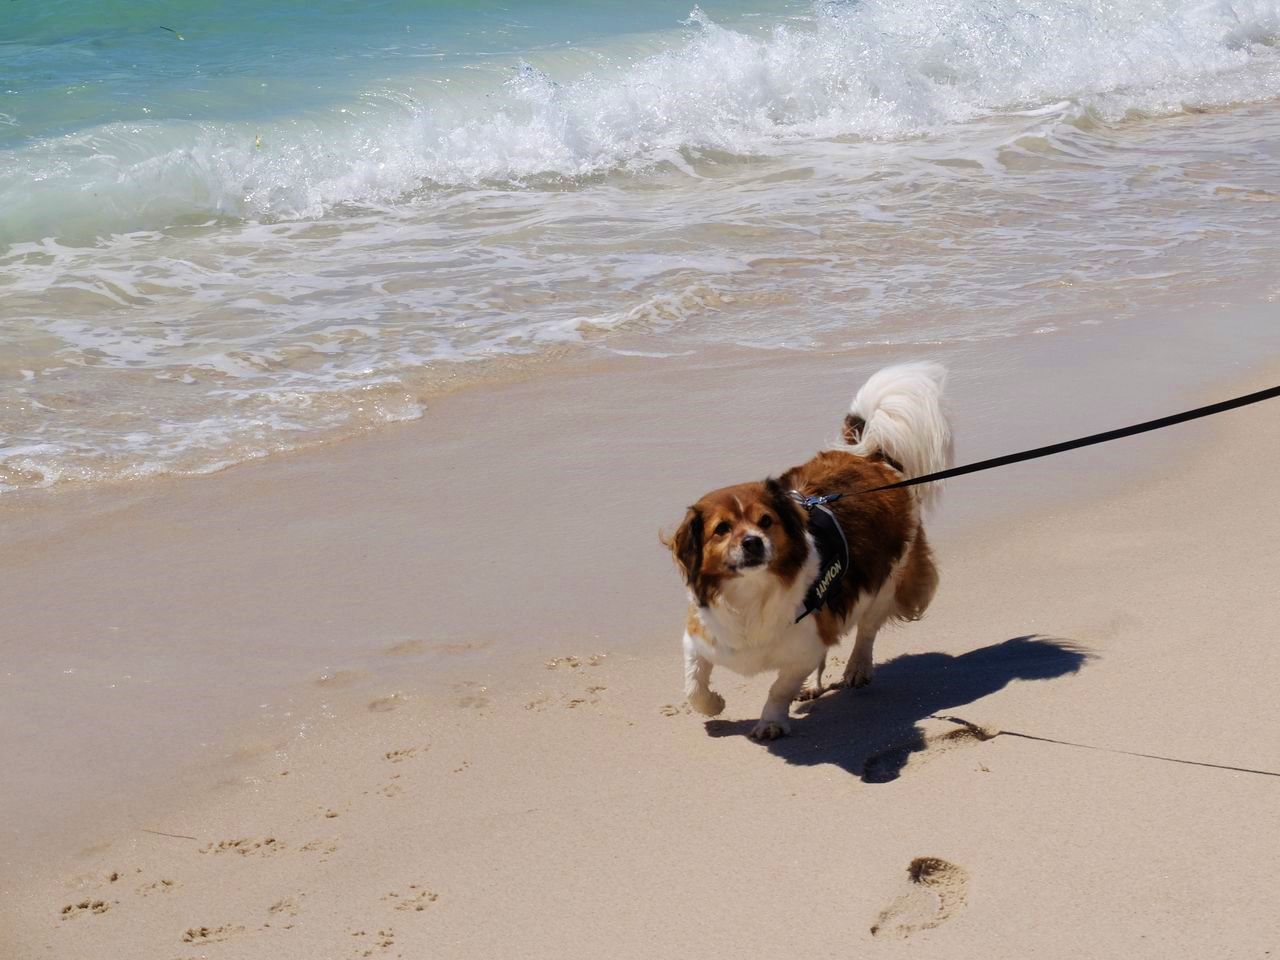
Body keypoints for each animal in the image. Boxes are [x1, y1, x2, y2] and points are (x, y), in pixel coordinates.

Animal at [670, 363, 952, 742]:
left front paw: (771, 721)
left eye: (766, 521)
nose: (753, 542)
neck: (749, 594)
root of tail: (870, 455)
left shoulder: (805, 645)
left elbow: (779, 687)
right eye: (722, 529)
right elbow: (693, 685)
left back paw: (857, 668)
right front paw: (713, 705)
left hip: (886, 580)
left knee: (866, 630)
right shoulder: (699, 636)